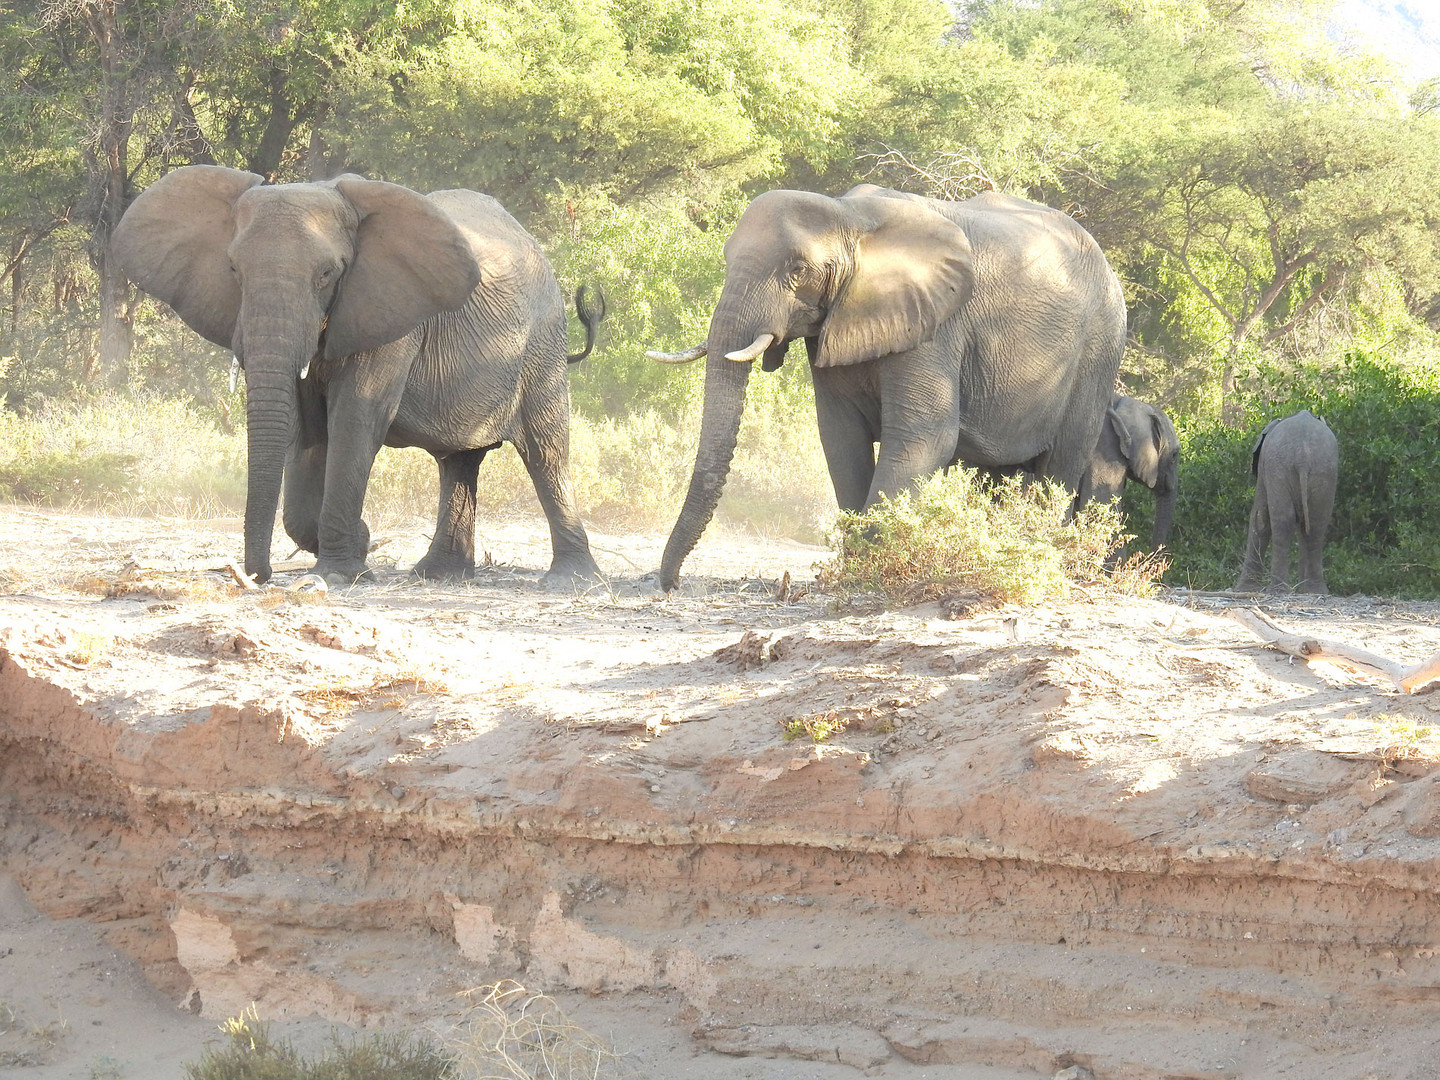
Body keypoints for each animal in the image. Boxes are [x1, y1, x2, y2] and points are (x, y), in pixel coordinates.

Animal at [112, 164, 601, 587]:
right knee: (458, 461)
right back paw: (438, 575)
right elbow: (306, 428)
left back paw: (569, 582)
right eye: (233, 269)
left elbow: (355, 416)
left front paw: (341, 571)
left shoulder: (389, 312)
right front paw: (358, 546)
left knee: (546, 451)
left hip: (542, 343)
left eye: (327, 274)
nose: (257, 575)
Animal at [648, 185, 1128, 593]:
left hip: (1098, 349)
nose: (671, 585)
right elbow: (841, 439)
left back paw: (1047, 557)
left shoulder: (935, 326)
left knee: (1061, 463)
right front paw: (860, 562)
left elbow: (923, 436)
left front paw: (871, 568)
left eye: (798, 270)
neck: (849, 217)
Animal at [1226, 408, 1336, 596]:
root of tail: (1303, 456)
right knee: (1316, 523)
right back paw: (1315, 592)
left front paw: (1244, 590)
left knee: (1282, 521)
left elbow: (1259, 517)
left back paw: (1278, 590)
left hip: (1279, 467)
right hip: (1324, 470)